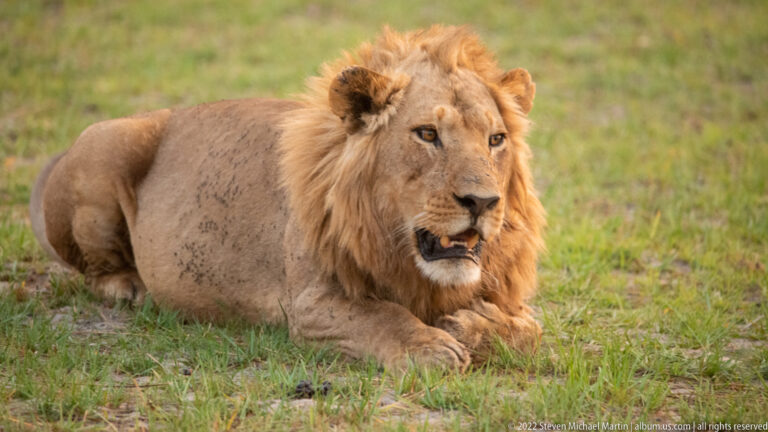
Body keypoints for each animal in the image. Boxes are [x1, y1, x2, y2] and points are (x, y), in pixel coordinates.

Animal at [30, 26, 545, 370]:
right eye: (427, 134)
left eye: (496, 139)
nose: (482, 202)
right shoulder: (312, 304)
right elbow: (383, 316)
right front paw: (432, 346)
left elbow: (531, 329)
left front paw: (470, 325)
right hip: (106, 145)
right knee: (93, 269)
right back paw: (129, 287)